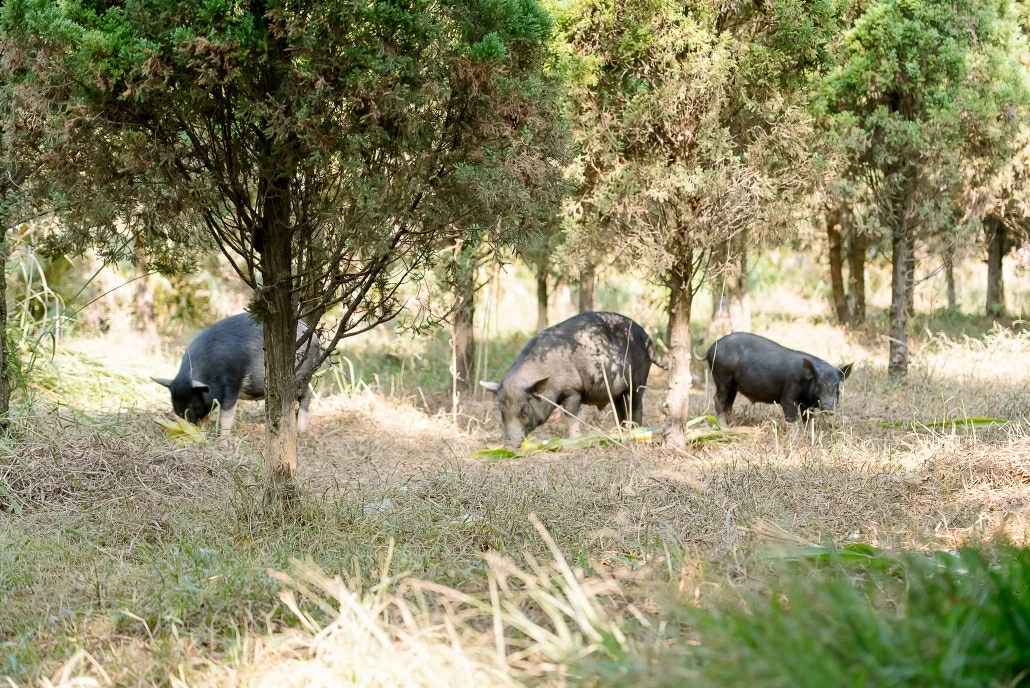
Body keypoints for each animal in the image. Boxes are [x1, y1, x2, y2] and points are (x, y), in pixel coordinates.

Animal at [152, 313, 317, 432]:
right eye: (175, 405)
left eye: (194, 404)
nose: (188, 425)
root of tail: (314, 337)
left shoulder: (232, 381)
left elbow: (227, 413)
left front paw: (222, 441)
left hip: (301, 378)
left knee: (307, 394)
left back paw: (301, 430)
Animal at [479, 313, 663, 451]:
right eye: (501, 410)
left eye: (523, 410)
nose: (508, 446)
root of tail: (648, 340)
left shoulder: (572, 390)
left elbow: (571, 415)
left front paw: (574, 441)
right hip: (619, 391)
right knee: (621, 407)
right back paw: (622, 432)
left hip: (639, 377)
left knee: (637, 403)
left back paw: (637, 430)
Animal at [700, 331, 852, 426]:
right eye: (819, 385)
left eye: (837, 386)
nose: (829, 409)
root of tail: (710, 350)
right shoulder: (789, 394)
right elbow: (791, 417)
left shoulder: (806, 403)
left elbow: (808, 419)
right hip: (722, 378)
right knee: (718, 399)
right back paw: (724, 428)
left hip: (733, 385)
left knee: (729, 403)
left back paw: (733, 426)